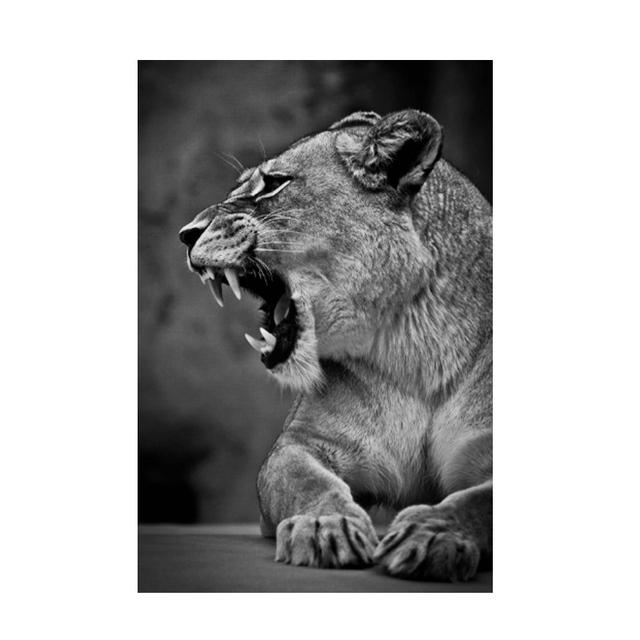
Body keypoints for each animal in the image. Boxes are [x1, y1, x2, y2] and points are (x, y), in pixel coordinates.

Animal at [179, 109, 492, 582]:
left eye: (273, 184)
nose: (185, 234)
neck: (417, 353)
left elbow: (476, 500)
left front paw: (434, 533)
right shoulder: (297, 445)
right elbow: (311, 483)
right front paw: (326, 526)